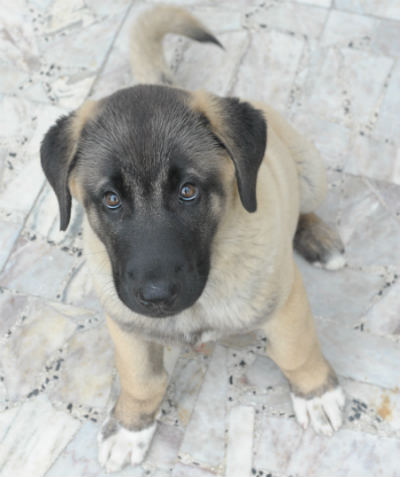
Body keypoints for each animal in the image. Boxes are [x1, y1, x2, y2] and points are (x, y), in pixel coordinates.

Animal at [41, 4, 346, 472]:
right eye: (110, 199)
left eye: (189, 191)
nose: (156, 296)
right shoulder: (124, 322)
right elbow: (141, 380)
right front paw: (130, 427)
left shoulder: (285, 303)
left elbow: (297, 350)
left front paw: (315, 393)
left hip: (311, 172)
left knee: (302, 204)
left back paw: (318, 239)